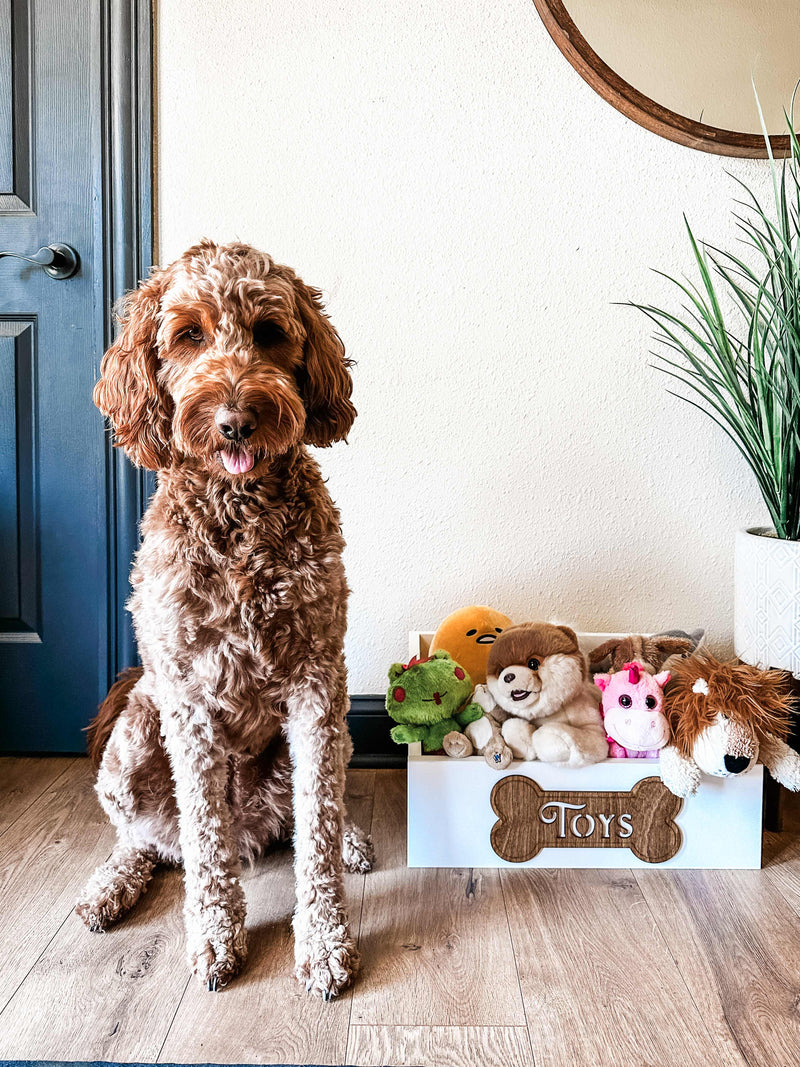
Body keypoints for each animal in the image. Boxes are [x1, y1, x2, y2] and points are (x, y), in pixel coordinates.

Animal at [75, 240, 375, 998]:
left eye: (269, 333)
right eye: (188, 335)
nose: (236, 418)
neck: (239, 516)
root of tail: (253, 829)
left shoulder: (317, 682)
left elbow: (318, 824)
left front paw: (324, 940)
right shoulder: (186, 697)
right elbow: (203, 836)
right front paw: (215, 936)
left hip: (321, 740)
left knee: (308, 813)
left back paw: (349, 840)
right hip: (132, 734)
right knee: (154, 841)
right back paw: (110, 886)